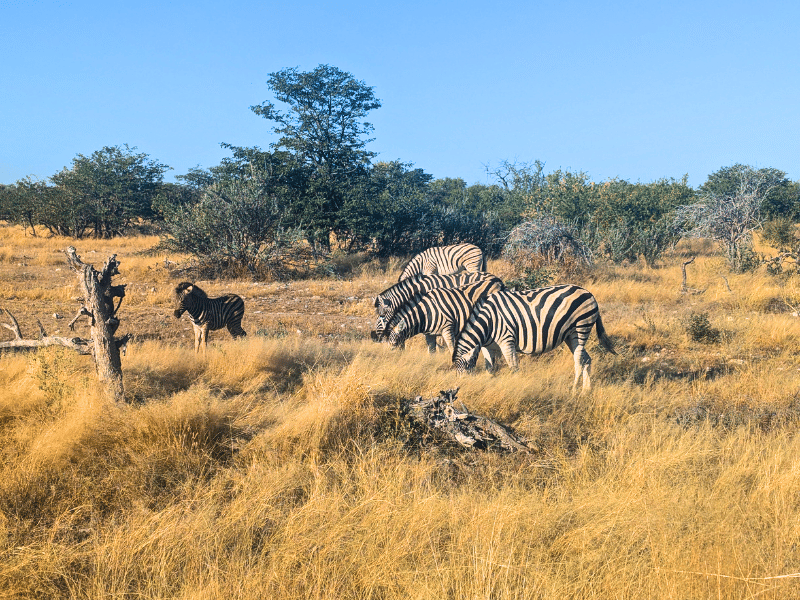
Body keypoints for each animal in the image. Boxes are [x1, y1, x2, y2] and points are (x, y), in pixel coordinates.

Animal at [452, 285, 616, 392]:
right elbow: (490, 369)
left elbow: (513, 367)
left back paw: (574, 390)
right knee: (586, 359)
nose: (461, 390)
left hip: (581, 327)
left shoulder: (507, 340)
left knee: (579, 361)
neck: (488, 322)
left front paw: (515, 387)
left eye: (465, 375)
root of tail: (589, 293)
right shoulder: (488, 347)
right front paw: (490, 385)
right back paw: (586, 390)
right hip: (570, 336)